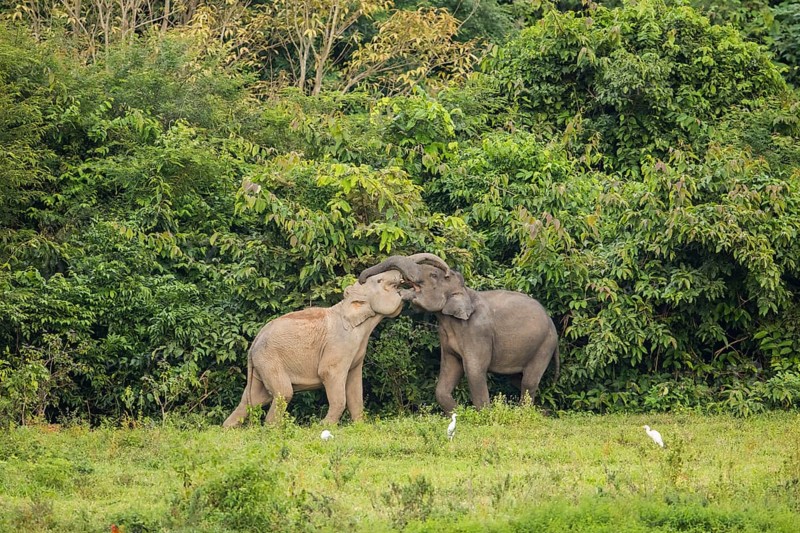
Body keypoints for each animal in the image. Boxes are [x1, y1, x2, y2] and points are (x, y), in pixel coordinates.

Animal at [223, 270, 406, 427]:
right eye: (380, 281)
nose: (401, 277)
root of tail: (254, 342)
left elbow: (355, 386)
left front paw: (359, 426)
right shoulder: (340, 344)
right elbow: (328, 373)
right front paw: (324, 426)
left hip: (260, 365)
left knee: (253, 398)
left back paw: (229, 429)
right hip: (269, 360)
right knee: (283, 393)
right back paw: (272, 428)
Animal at [359, 253, 560, 413]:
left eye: (433, 275)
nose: (361, 280)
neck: (464, 292)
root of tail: (552, 324)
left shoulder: (477, 332)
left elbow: (474, 370)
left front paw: (483, 416)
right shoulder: (445, 336)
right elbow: (449, 368)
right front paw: (458, 414)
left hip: (544, 345)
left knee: (529, 381)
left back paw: (524, 413)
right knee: (518, 379)